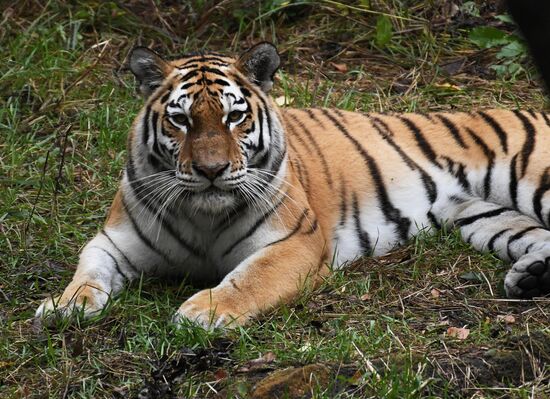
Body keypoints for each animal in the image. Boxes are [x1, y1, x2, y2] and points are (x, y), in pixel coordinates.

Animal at [35, 42, 550, 330]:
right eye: (181, 121)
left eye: (234, 116)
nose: (211, 170)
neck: (201, 213)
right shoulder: (113, 240)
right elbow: (89, 270)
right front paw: (64, 307)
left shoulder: (295, 242)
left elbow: (248, 279)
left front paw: (203, 312)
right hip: (483, 215)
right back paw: (531, 276)